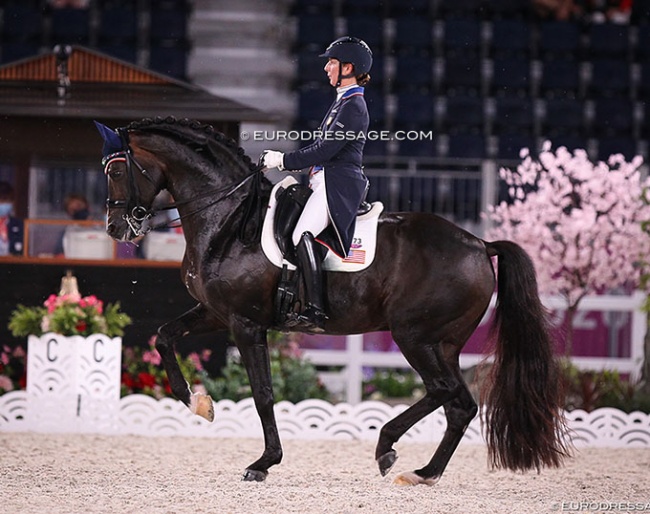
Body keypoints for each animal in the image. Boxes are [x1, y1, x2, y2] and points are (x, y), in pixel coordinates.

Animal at [97, 116, 568, 484]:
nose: (116, 228)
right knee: (459, 406)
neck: (229, 221)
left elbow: (263, 393)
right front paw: (198, 403)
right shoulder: (217, 312)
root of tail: (479, 243)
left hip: (414, 336)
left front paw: (263, 463)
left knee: (445, 391)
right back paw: (422, 473)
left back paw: (387, 447)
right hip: (444, 342)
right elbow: (164, 336)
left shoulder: (246, 324)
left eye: (117, 171)